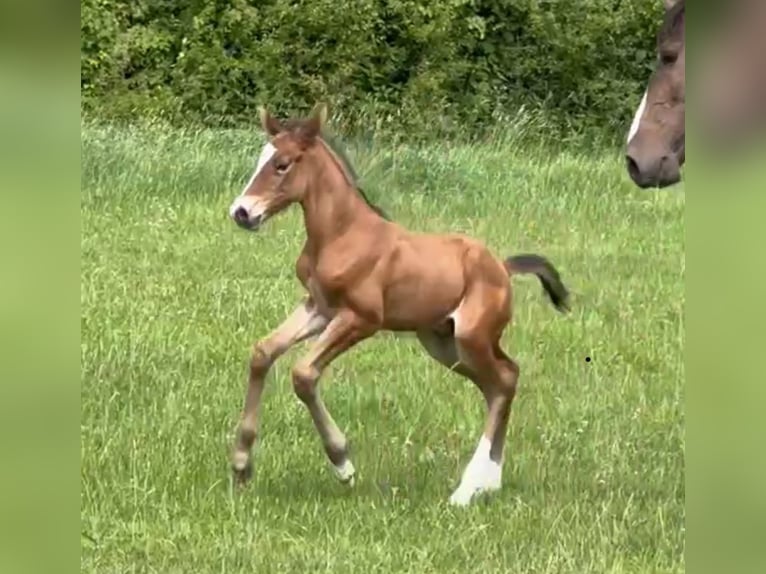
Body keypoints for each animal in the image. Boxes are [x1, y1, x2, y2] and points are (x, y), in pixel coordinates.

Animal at [227, 104, 570, 506]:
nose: (241, 212)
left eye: (282, 164)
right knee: (502, 381)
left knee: (503, 380)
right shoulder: (319, 308)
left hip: (471, 338)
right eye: (260, 159)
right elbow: (262, 352)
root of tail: (502, 266)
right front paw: (241, 465)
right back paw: (488, 482)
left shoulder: (362, 319)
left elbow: (304, 374)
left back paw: (466, 489)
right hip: (443, 344)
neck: (342, 234)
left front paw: (343, 464)